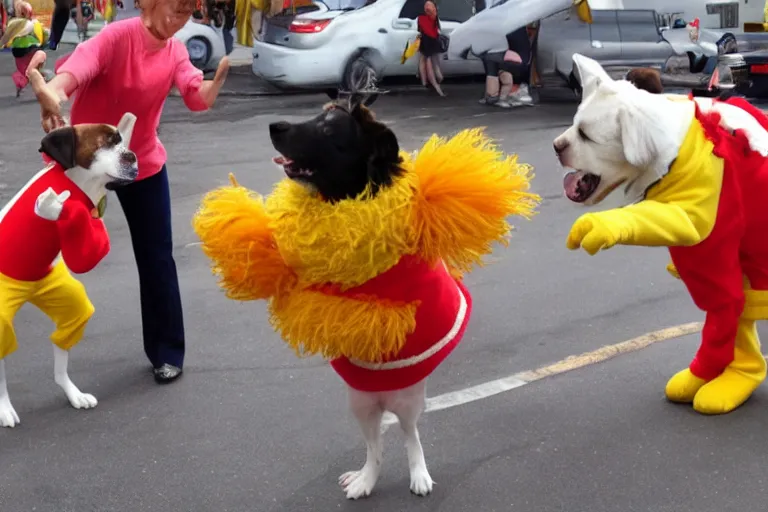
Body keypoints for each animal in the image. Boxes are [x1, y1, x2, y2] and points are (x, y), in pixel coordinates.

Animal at [0, 113, 138, 428]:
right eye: (105, 143)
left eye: (121, 141)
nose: (133, 156)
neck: (78, 183)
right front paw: (54, 207)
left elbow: (84, 256)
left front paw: (57, 210)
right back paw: (3, 407)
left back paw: (72, 392)